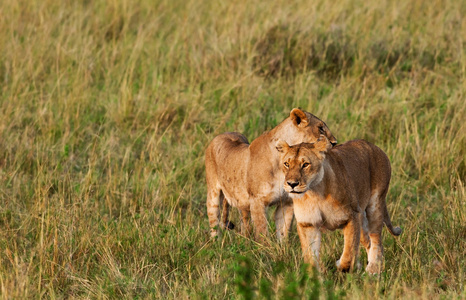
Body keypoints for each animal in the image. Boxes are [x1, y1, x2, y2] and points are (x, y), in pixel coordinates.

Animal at [206, 109, 336, 243]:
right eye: (320, 128)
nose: (335, 143)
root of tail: (221, 134)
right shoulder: (257, 201)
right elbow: (262, 232)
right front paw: (264, 248)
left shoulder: (287, 202)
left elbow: (284, 231)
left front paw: (283, 247)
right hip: (213, 194)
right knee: (214, 220)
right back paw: (216, 242)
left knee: (244, 223)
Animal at [276, 137, 400, 274]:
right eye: (286, 164)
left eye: (305, 164)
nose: (292, 184)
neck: (314, 193)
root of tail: (374, 146)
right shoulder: (308, 224)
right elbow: (310, 256)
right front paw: (313, 277)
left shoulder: (351, 216)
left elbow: (349, 251)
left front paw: (342, 265)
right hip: (362, 220)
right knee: (367, 241)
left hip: (375, 205)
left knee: (376, 240)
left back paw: (373, 269)